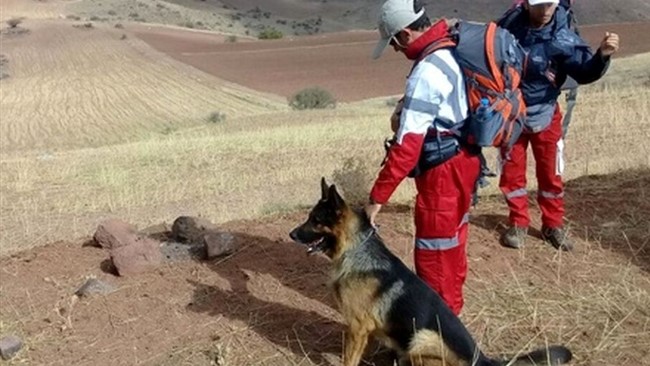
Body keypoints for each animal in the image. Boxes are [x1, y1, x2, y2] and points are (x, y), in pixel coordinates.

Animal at [286, 179, 568, 366]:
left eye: (315, 221)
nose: (291, 234)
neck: (355, 249)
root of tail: (483, 360)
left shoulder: (357, 327)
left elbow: (349, 359)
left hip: (423, 338)